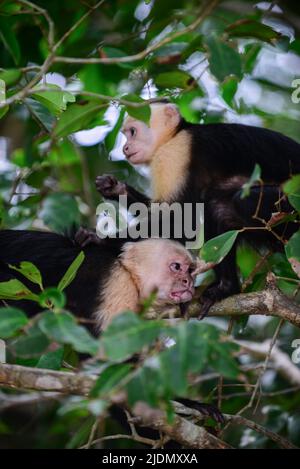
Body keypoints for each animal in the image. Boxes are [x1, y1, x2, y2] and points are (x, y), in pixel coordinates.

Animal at [95, 102, 300, 314]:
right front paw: (115, 188)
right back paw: (227, 287)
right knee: (218, 209)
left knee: (240, 201)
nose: (125, 148)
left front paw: (99, 240)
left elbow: (178, 221)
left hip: (289, 204)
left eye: (133, 132)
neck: (176, 134)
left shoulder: (175, 153)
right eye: (126, 134)